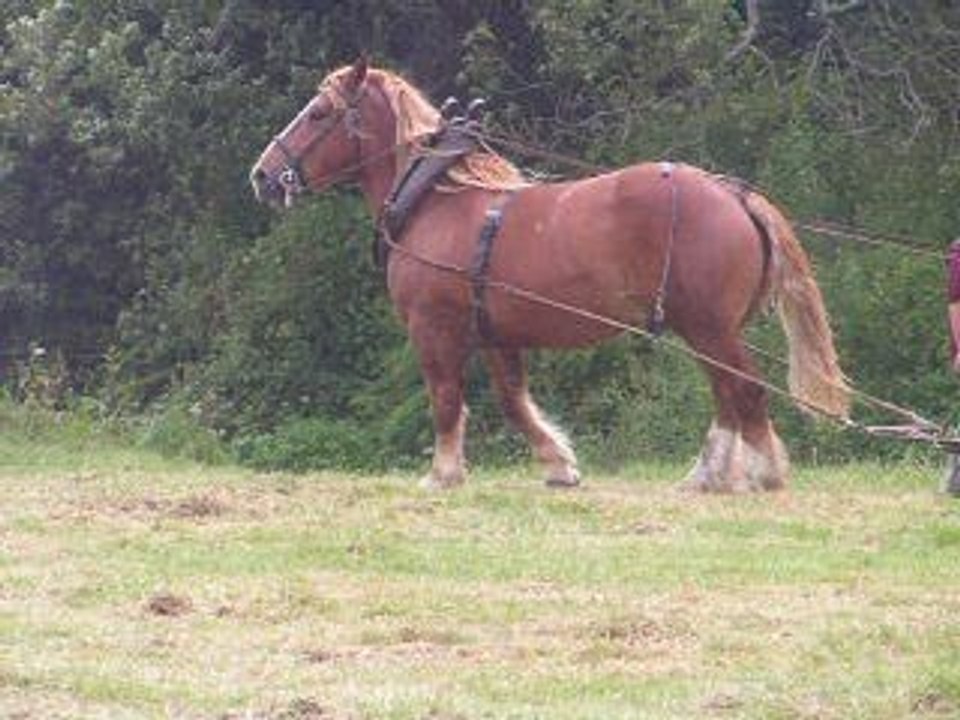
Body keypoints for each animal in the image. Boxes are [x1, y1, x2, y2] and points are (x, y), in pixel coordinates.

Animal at [251, 57, 850, 493]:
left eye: (319, 113)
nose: (262, 175)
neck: (435, 199)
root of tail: (733, 192)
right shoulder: (495, 334)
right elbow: (514, 402)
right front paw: (558, 464)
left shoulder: (433, 328)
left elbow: (445, 398)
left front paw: (443, 473)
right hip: (705, 328)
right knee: (727, 392)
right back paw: (709, 475)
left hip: (707, 326)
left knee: (742, 388)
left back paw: (762, 470)